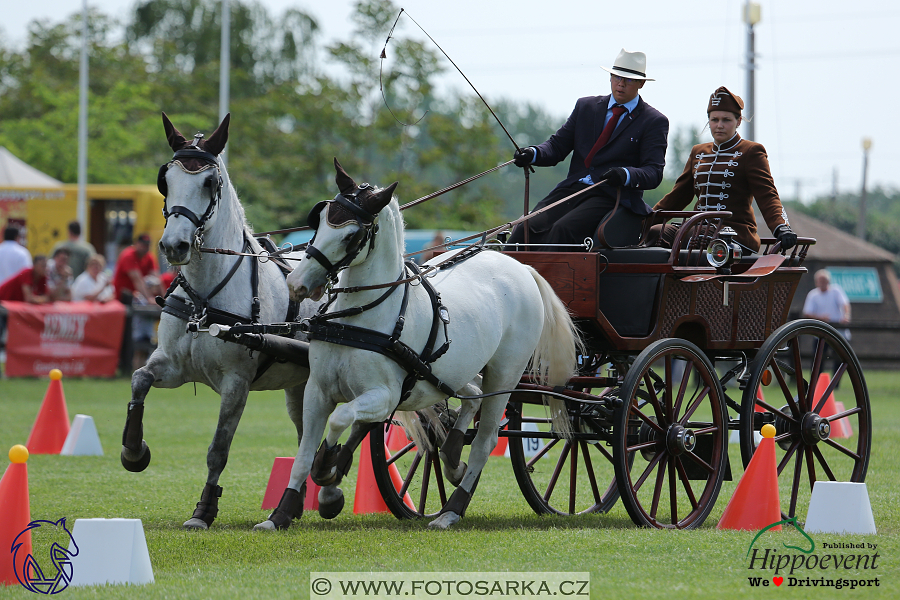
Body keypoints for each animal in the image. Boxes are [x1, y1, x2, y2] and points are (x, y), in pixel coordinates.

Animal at [123, 112, 338, 528]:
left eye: (209, 182)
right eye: (165, 180)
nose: (174, 245)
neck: (207, 296)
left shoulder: (236, 383)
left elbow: (218, 448)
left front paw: (204, 510)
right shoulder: (172, 365)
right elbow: (139, 379)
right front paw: (134, 451)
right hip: (299, 385)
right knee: (306, 431)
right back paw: (295, 504)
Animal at [253, 159, 580, 528]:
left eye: (352, 234)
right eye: (320, 220)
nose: (296, 283)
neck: (360, 316)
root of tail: (519, 265)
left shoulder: (384, 395)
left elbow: (340, 421)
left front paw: (329, 473)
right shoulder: (317, 392)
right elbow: (305, 451)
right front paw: (281, 514)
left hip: (505, 375)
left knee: (486, 439)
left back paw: (451, 510)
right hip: (450, 371)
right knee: (471, 395)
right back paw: (452, 456)